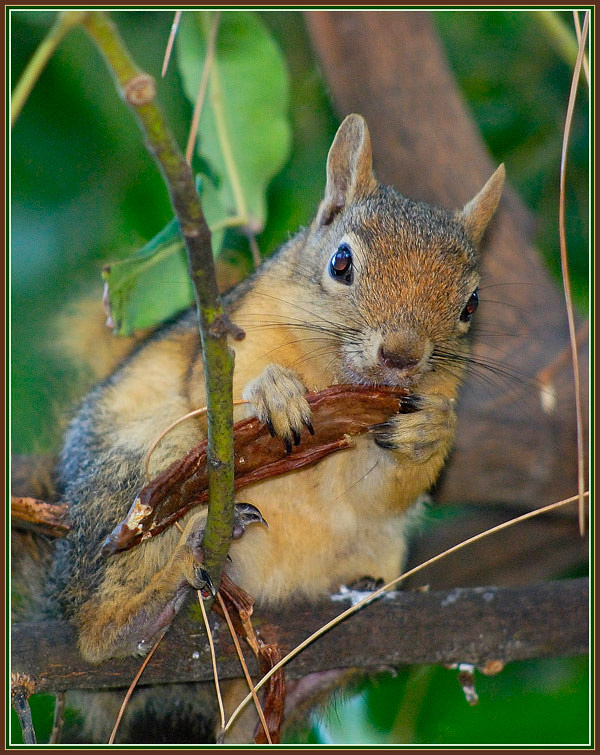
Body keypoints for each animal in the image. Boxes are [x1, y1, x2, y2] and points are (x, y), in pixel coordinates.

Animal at [45, 114, 504, 742]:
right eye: (341, 263)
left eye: (471, 305)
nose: (402, 355)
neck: (334, 374)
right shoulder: (231, 336)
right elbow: (214, 393)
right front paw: (273, 391)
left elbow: (381, 491)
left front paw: (430, 431)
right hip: (139, 479)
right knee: (94, 623)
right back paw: (145, 609)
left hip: (377, 554)